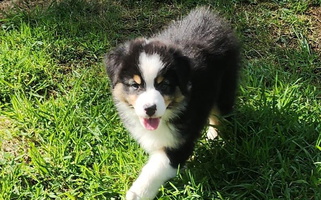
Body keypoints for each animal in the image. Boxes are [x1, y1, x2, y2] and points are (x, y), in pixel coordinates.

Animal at [104, 6, 240, 200]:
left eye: (164, 85)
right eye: (135, 85)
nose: (150, 109)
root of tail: (209, 16)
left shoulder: (179, 143)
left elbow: (155, 170)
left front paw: (137, 193)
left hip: (225, 85)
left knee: (220, 113)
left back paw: (215, 136)